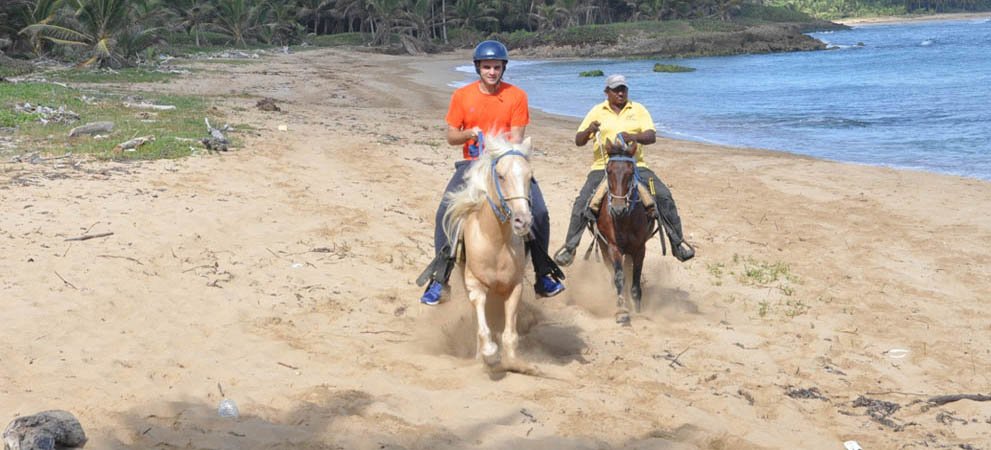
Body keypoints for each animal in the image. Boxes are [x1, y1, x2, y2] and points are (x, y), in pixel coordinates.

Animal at [444, 134, 536, 370]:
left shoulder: (515, 286)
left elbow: (509, 333)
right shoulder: (475, 283)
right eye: (501, 176)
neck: (496, 241)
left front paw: (515, 362)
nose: (523, 221)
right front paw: (488, 353)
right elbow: (482, 323)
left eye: (530, 177)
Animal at [596, 136, 660, 324]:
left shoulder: (639, 248)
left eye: (631, 172)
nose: (618, 209)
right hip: (603, 246)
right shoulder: (613, 247)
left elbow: (635, 278)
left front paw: (637, 309)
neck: (625, 219)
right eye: (608, 171)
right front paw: (622, 310)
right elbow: (619, 277)